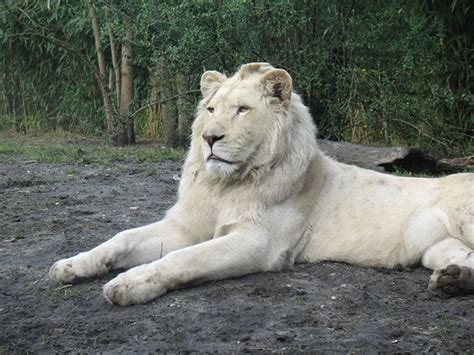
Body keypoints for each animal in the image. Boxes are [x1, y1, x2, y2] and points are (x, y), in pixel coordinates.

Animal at [49, 63, 474, 306]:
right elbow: (121, 238)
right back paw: (453, 281)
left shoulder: (258, 242)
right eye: (210, 109)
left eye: (243, 110)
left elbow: (184, 259)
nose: (210, 138)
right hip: (437, 249)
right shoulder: (186, 226)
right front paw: (70, 265)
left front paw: (130, 283)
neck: (226, 184)